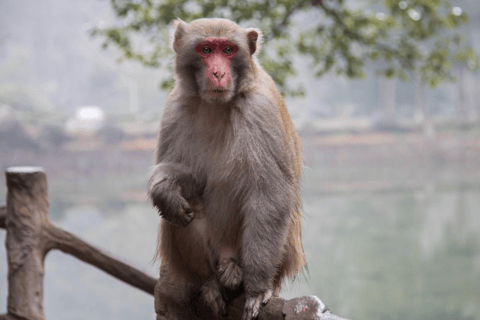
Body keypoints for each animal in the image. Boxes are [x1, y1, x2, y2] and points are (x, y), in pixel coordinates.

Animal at [148, 18, 304, 320]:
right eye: (207, 49)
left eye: (229, 50)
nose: (218, 73)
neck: (217, 105)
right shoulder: (175, 106)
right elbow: (188, 177)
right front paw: (163, 189)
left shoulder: (261, 109)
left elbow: (270, 195)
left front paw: (257, 289)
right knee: (183, 214)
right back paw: (211, 282)